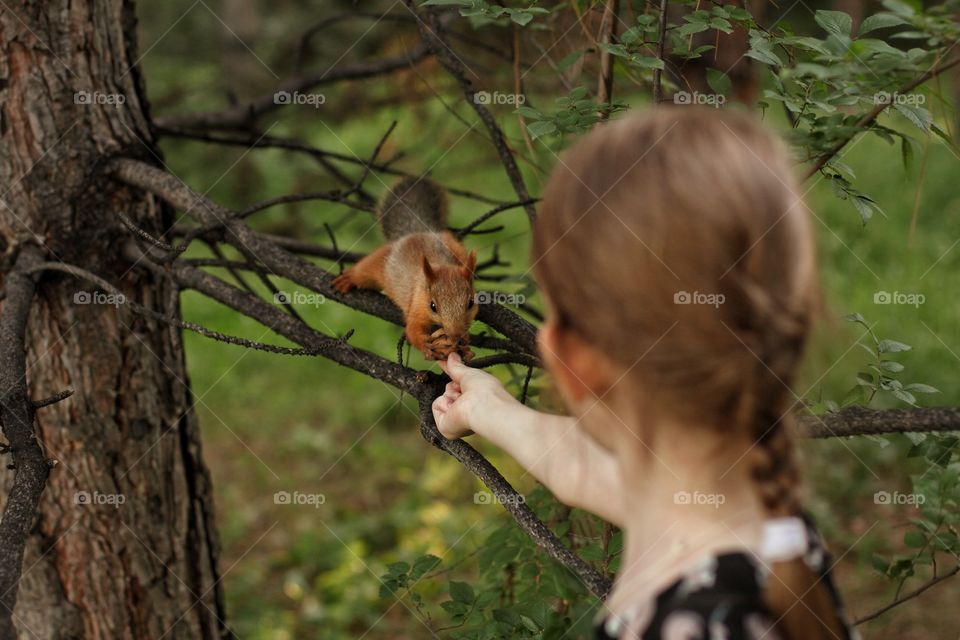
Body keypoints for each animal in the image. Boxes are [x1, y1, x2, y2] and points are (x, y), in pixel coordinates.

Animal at [332, 176, 478, 361]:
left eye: (471, 303)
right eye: (432, 306)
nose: (455, 335)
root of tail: (415, 232)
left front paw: (465, 345)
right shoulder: (416, 305)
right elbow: (413, 329)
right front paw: (426, 345)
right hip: (380, 262)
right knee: (363, 270)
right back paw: (348, 278)